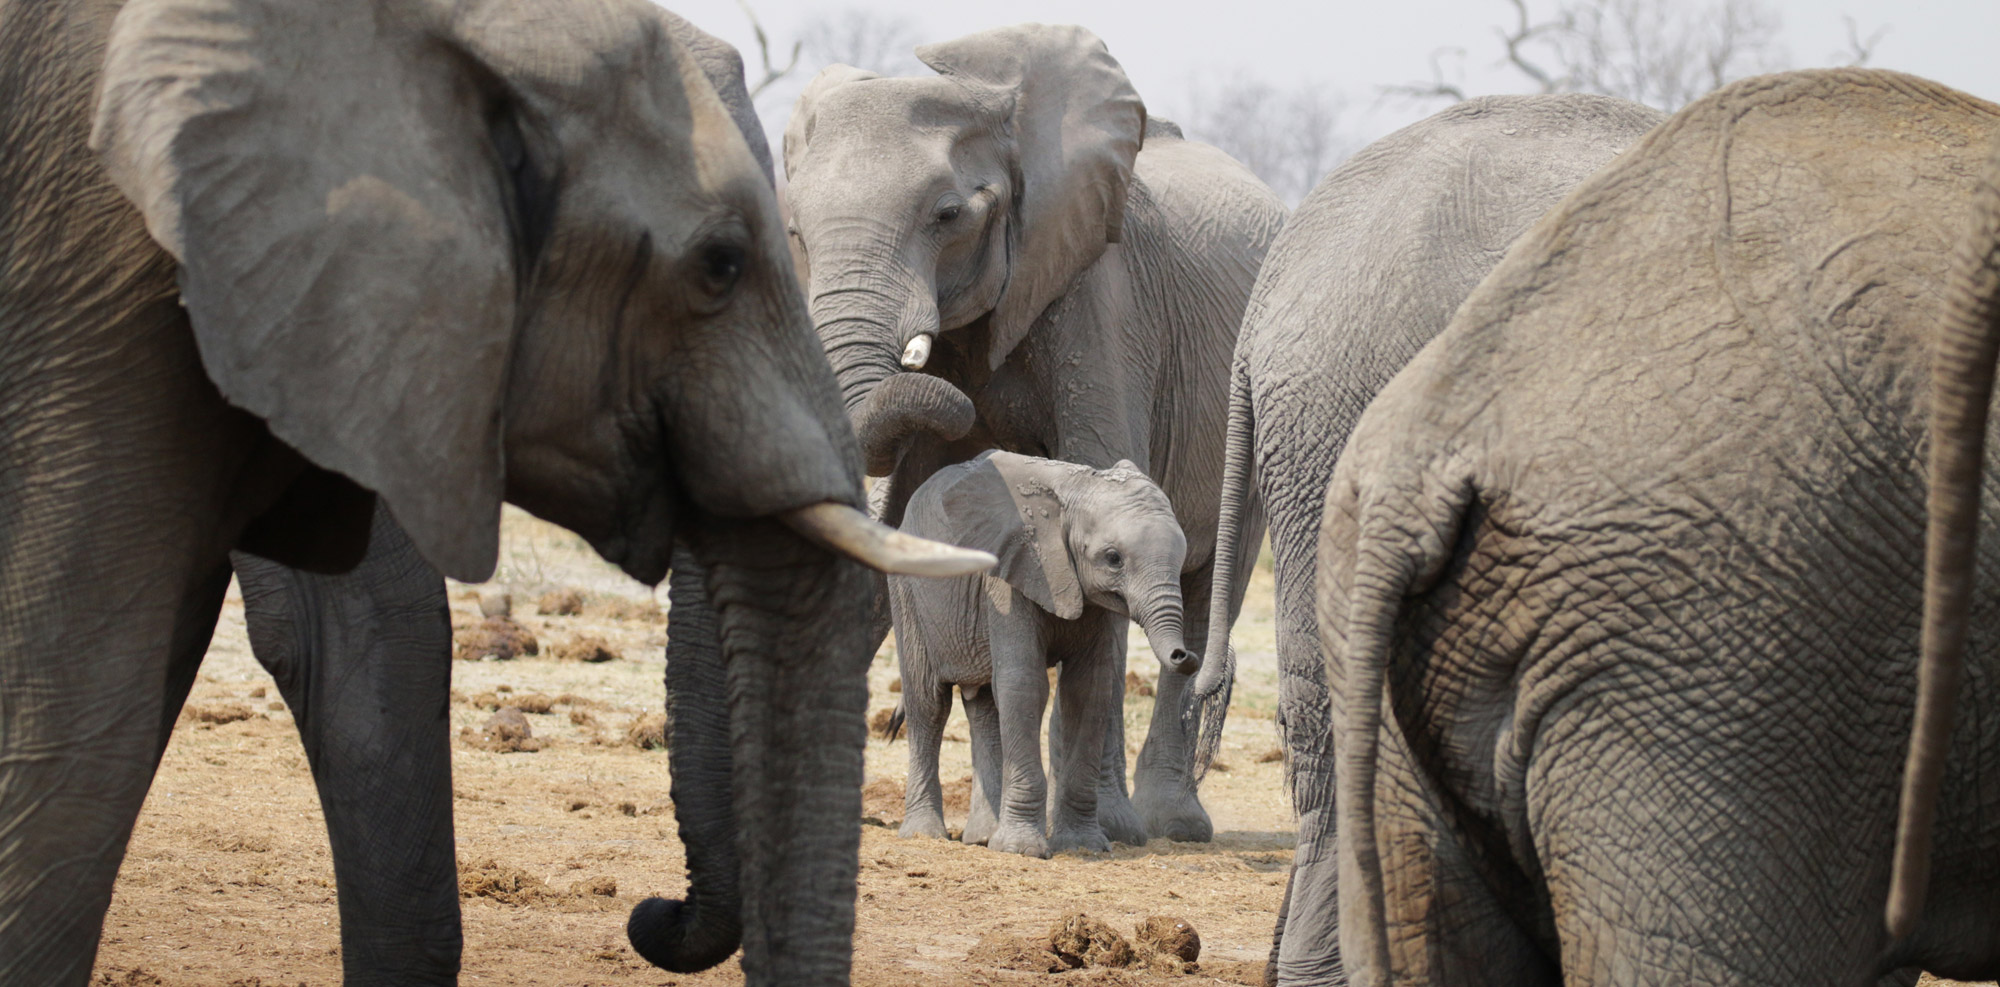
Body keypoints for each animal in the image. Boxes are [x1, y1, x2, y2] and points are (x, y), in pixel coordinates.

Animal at [888, 449, 1192, 855]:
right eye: (1113, 558)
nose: (1183, 657)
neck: (1074, 491)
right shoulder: (1010, 576)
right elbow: (1025, 684)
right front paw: (1021, 850)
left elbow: (1088, 690)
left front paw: (1083, 847)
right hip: (907, 589)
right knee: (928, 703)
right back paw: (925, 834)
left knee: (984, 706)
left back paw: (983, 837)